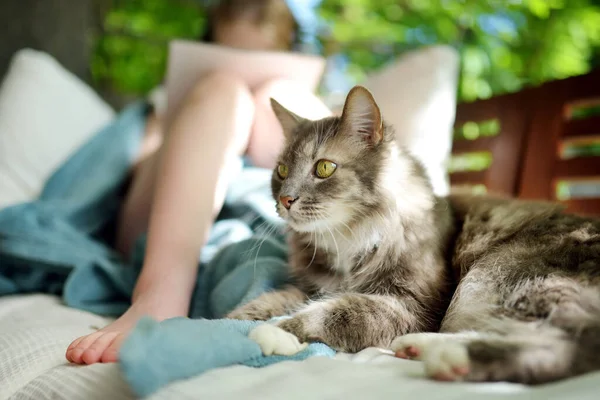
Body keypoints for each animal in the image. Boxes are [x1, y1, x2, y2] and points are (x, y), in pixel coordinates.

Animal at [227, 84, 600, 384]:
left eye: (324, 168)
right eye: (281, 170)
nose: (285, 200)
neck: (349, 237)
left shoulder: (409, 305)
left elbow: (335, 312)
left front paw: (275, 331)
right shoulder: (315, 286)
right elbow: (275, 299)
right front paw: (232, 320)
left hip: (503, 274)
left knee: (568, 341)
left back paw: (453, 360)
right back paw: (417, 347)